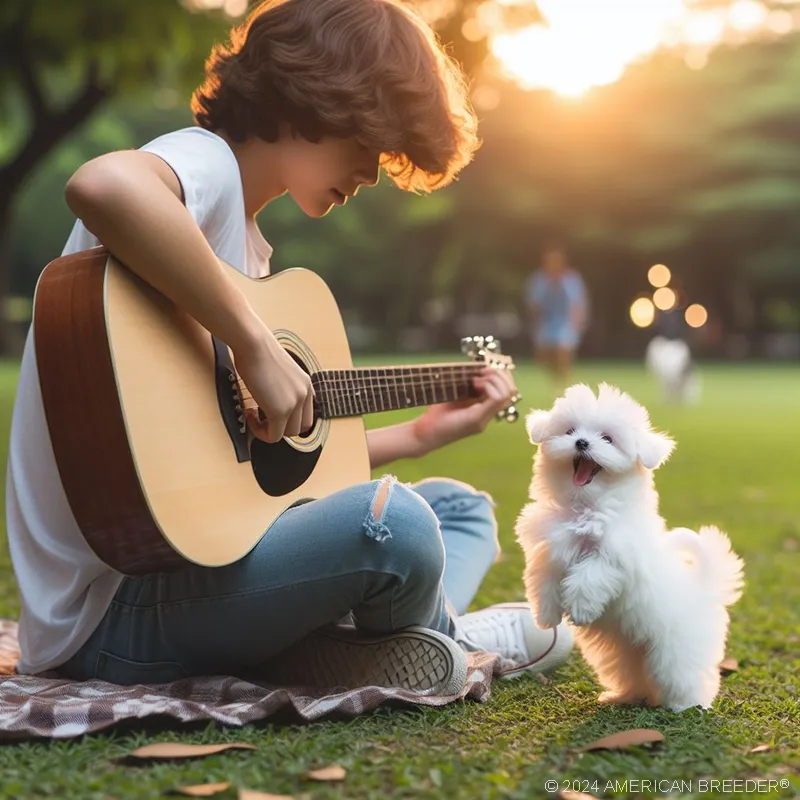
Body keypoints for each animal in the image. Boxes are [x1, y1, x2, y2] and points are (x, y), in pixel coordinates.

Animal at [516, 382, 748, 712]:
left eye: (608, 438)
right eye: (570, 430)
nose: (581, 442)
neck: (586, 506)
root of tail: (702, 588)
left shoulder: (616, 556)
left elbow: (591, 574)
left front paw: (581, 608)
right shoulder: (550, 545)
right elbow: (542, 577)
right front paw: (546, 616)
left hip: (676, 650)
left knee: (685, 675)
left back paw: (686, 705)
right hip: (624, 652)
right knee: (634, 674)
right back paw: (623, 696)